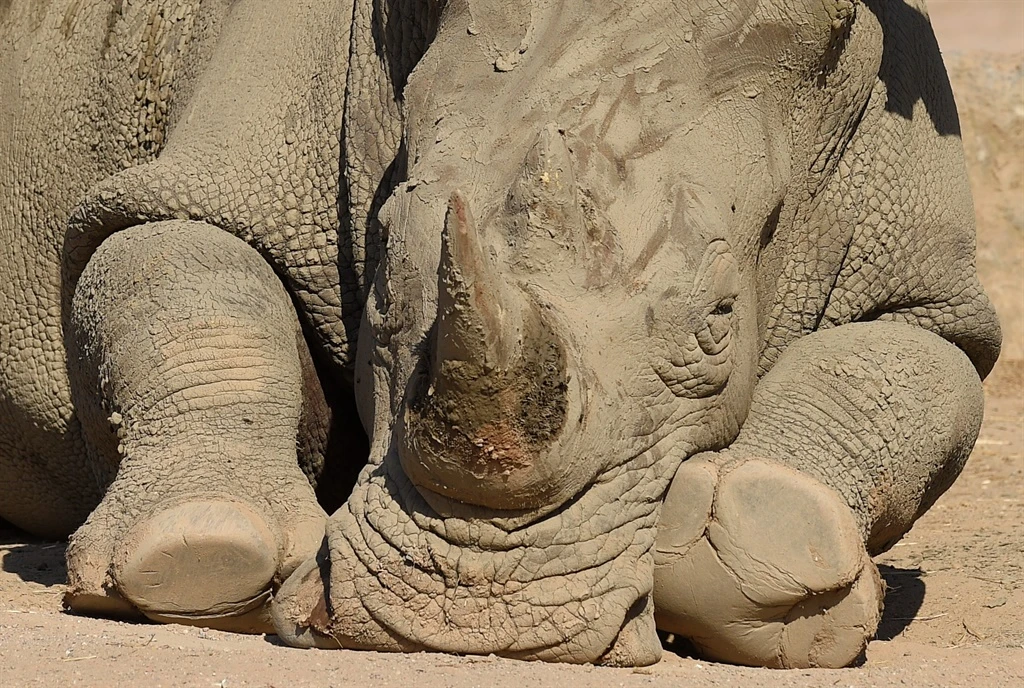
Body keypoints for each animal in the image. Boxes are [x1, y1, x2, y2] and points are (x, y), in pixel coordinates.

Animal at [0, 0, 1000, 670]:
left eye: (721, 322)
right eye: (381, 289)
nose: (472, 617)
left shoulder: (927, 284)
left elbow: (909, 373)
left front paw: (759, 565)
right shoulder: (224, 162)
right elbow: (177, 267)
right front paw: (203, 547)